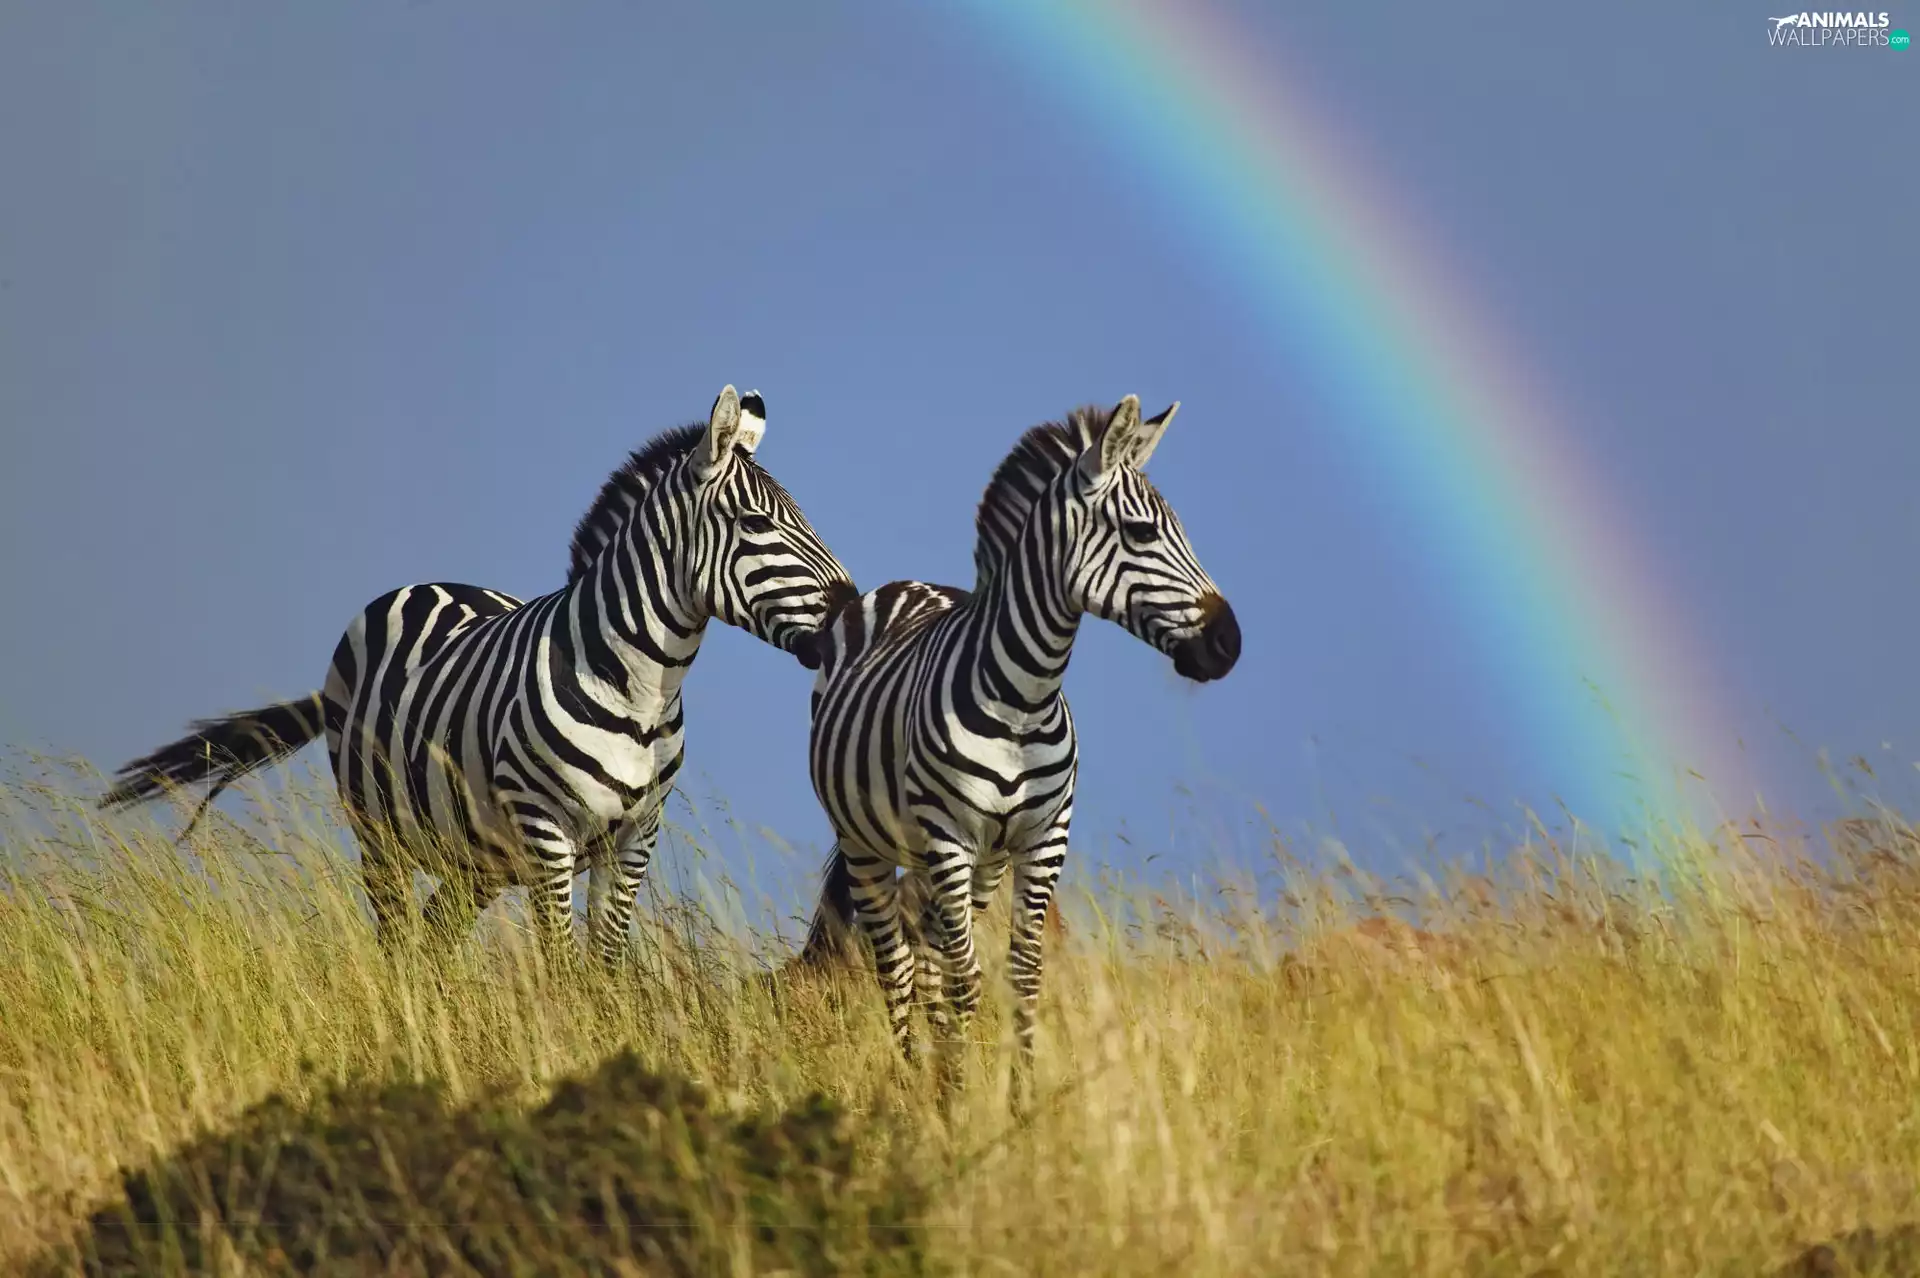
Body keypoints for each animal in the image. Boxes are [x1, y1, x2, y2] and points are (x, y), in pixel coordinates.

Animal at [102, 385, 856, 967]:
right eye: (756, 522)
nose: (851, 607)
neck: (642, 687)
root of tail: (431, 583)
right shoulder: (548, 832)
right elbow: (561, 968)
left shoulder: (634, 839)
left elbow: (605, 969)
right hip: (378, 832)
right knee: (397, 943)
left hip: (478, 856)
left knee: (435, 940)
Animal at [794, 394, 1240, 1103]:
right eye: (1142, 534)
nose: (1230, 643)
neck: (1024, 699)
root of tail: (906, 584)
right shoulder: (950, 837)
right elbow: (964, 979)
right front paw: (959, 1100)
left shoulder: (1041, 839)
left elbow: (1021, 975)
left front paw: (1020, 1101)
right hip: (869, 843)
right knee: (898, 964)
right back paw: (917, 1079)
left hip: (973, 864)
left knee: (928, 959)